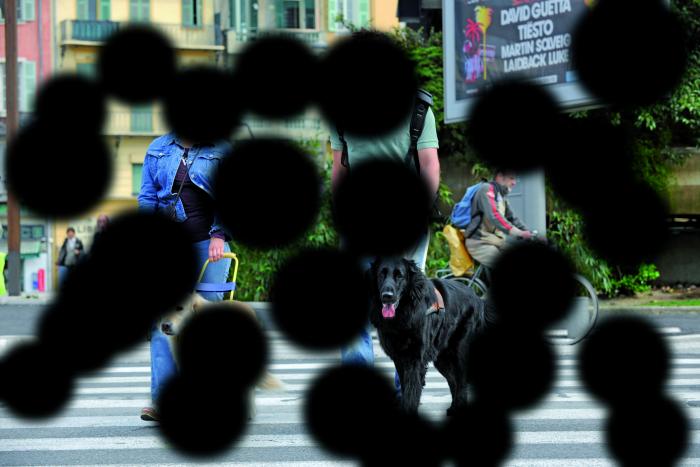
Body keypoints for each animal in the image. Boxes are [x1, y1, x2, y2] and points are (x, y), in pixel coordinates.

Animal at [370, 258, 490, 414]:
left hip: (460, 353)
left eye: (399, 276)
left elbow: (411, 393)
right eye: (381, 275)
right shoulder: (399, 359)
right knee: (454, 382)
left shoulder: (415, 360)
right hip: (442, 358)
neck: (406, 311)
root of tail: (479, 299)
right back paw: (454, 408)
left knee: (462, 383)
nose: (387, 297)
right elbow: (405, 388)